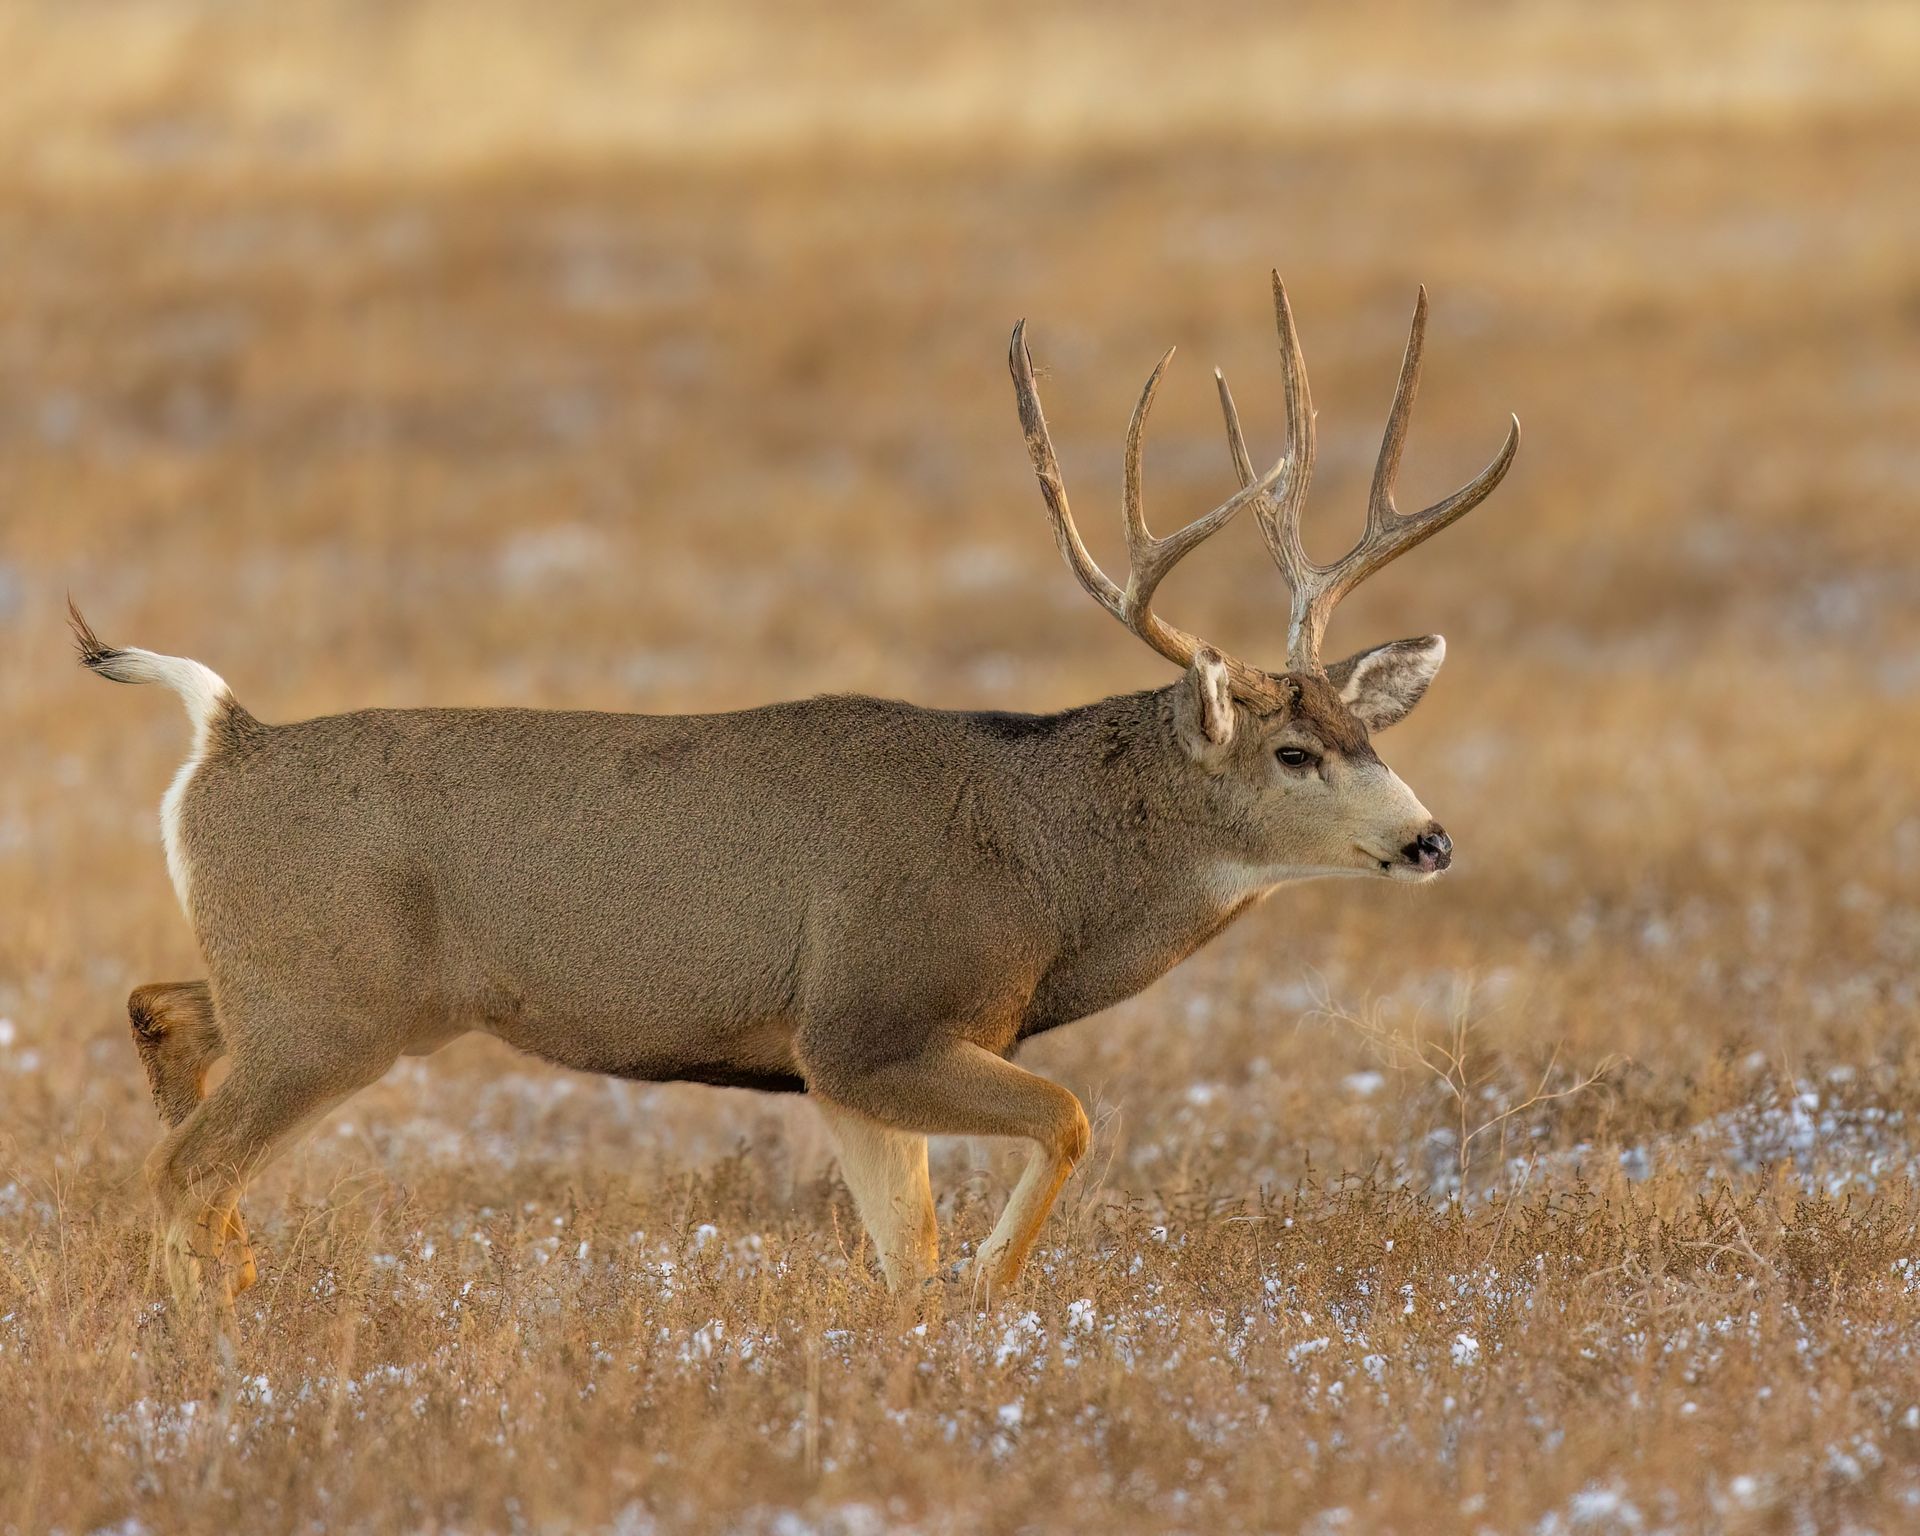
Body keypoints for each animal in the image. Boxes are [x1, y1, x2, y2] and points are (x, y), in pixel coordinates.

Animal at [74, 273, 1517, 1313]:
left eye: (1365, 728)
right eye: (1292, 753)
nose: (1429, 840)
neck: (1037, 857)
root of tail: (225, 737)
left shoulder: (837, 1066)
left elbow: (902, 1251)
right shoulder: (868, 1016)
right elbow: (1064, 1124)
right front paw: (992, 1288)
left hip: (309, 981)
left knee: (161, 1013)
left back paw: (235, 1270)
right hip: (335, 1001)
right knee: (182, 1165)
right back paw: (204, 1334)